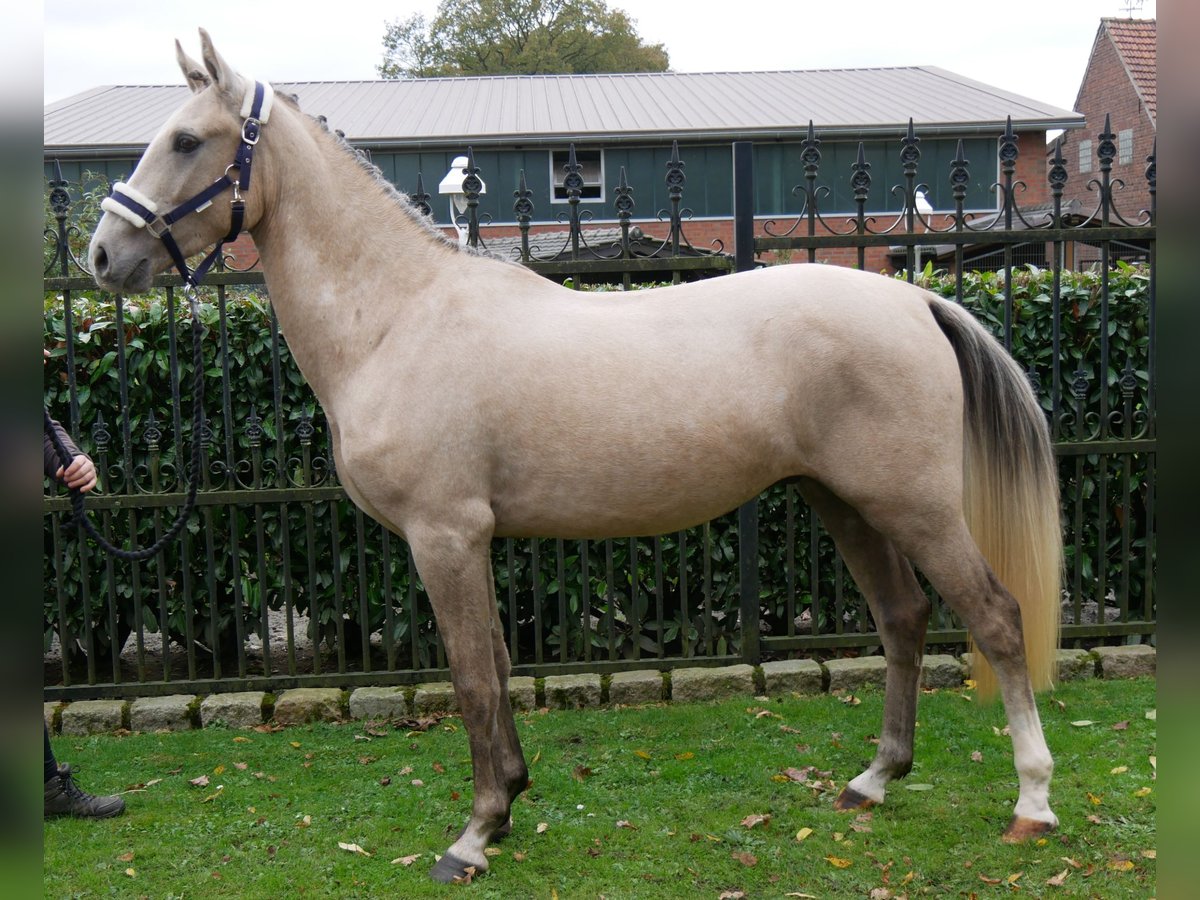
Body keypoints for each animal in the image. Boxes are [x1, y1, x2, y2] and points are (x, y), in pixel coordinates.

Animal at [91, 30, 1060, 888]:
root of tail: (917, 302)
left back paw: (1032, 802)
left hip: (914, 506)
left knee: (995, 617)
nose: (104, 254)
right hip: (845, 501)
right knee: (903, 618)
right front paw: (508, 806)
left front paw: (473, 835)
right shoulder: (471, 540)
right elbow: (496, 666)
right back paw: (873, 781)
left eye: (187, 140)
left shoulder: (444, 537)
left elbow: (473, 678)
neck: (399, 317)